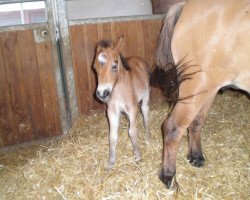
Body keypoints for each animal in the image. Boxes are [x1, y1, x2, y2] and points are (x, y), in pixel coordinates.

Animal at [156, 0, 250, 188]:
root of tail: (186, 6)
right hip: (197, 87)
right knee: (172, 127)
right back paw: (168, 176)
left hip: (208, 88)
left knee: (195, 122)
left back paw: (196, 157)